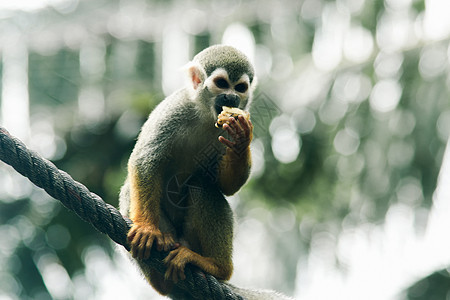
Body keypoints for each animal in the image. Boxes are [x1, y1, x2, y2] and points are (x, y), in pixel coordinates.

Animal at [118, 45, 255, 296]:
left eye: (240, 88)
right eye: (222, 83)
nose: (231, 97)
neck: (205, 114)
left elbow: (226, 186)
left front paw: (241, 140)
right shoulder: (173, 109)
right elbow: (146, 159)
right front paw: (146, 228)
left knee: (202, 185)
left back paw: (217, 267)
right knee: (129, 191)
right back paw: (161, 276)